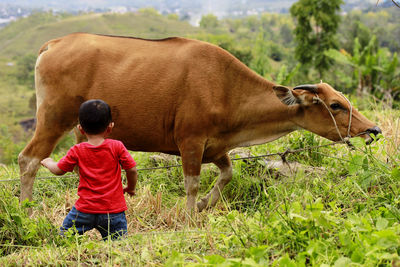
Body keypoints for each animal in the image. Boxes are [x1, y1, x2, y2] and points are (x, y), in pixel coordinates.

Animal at [18, 33, 382, 213]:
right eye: (335, 105)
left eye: (344, 99)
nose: (373, 129)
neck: (226, 88)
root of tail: (54, 44)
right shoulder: (189, 142)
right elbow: (191, 184)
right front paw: (190, 216)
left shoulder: (216, 147)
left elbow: (228, 174)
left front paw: (207, 203)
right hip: (53, 118)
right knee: (28, 159)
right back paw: (27, 210)